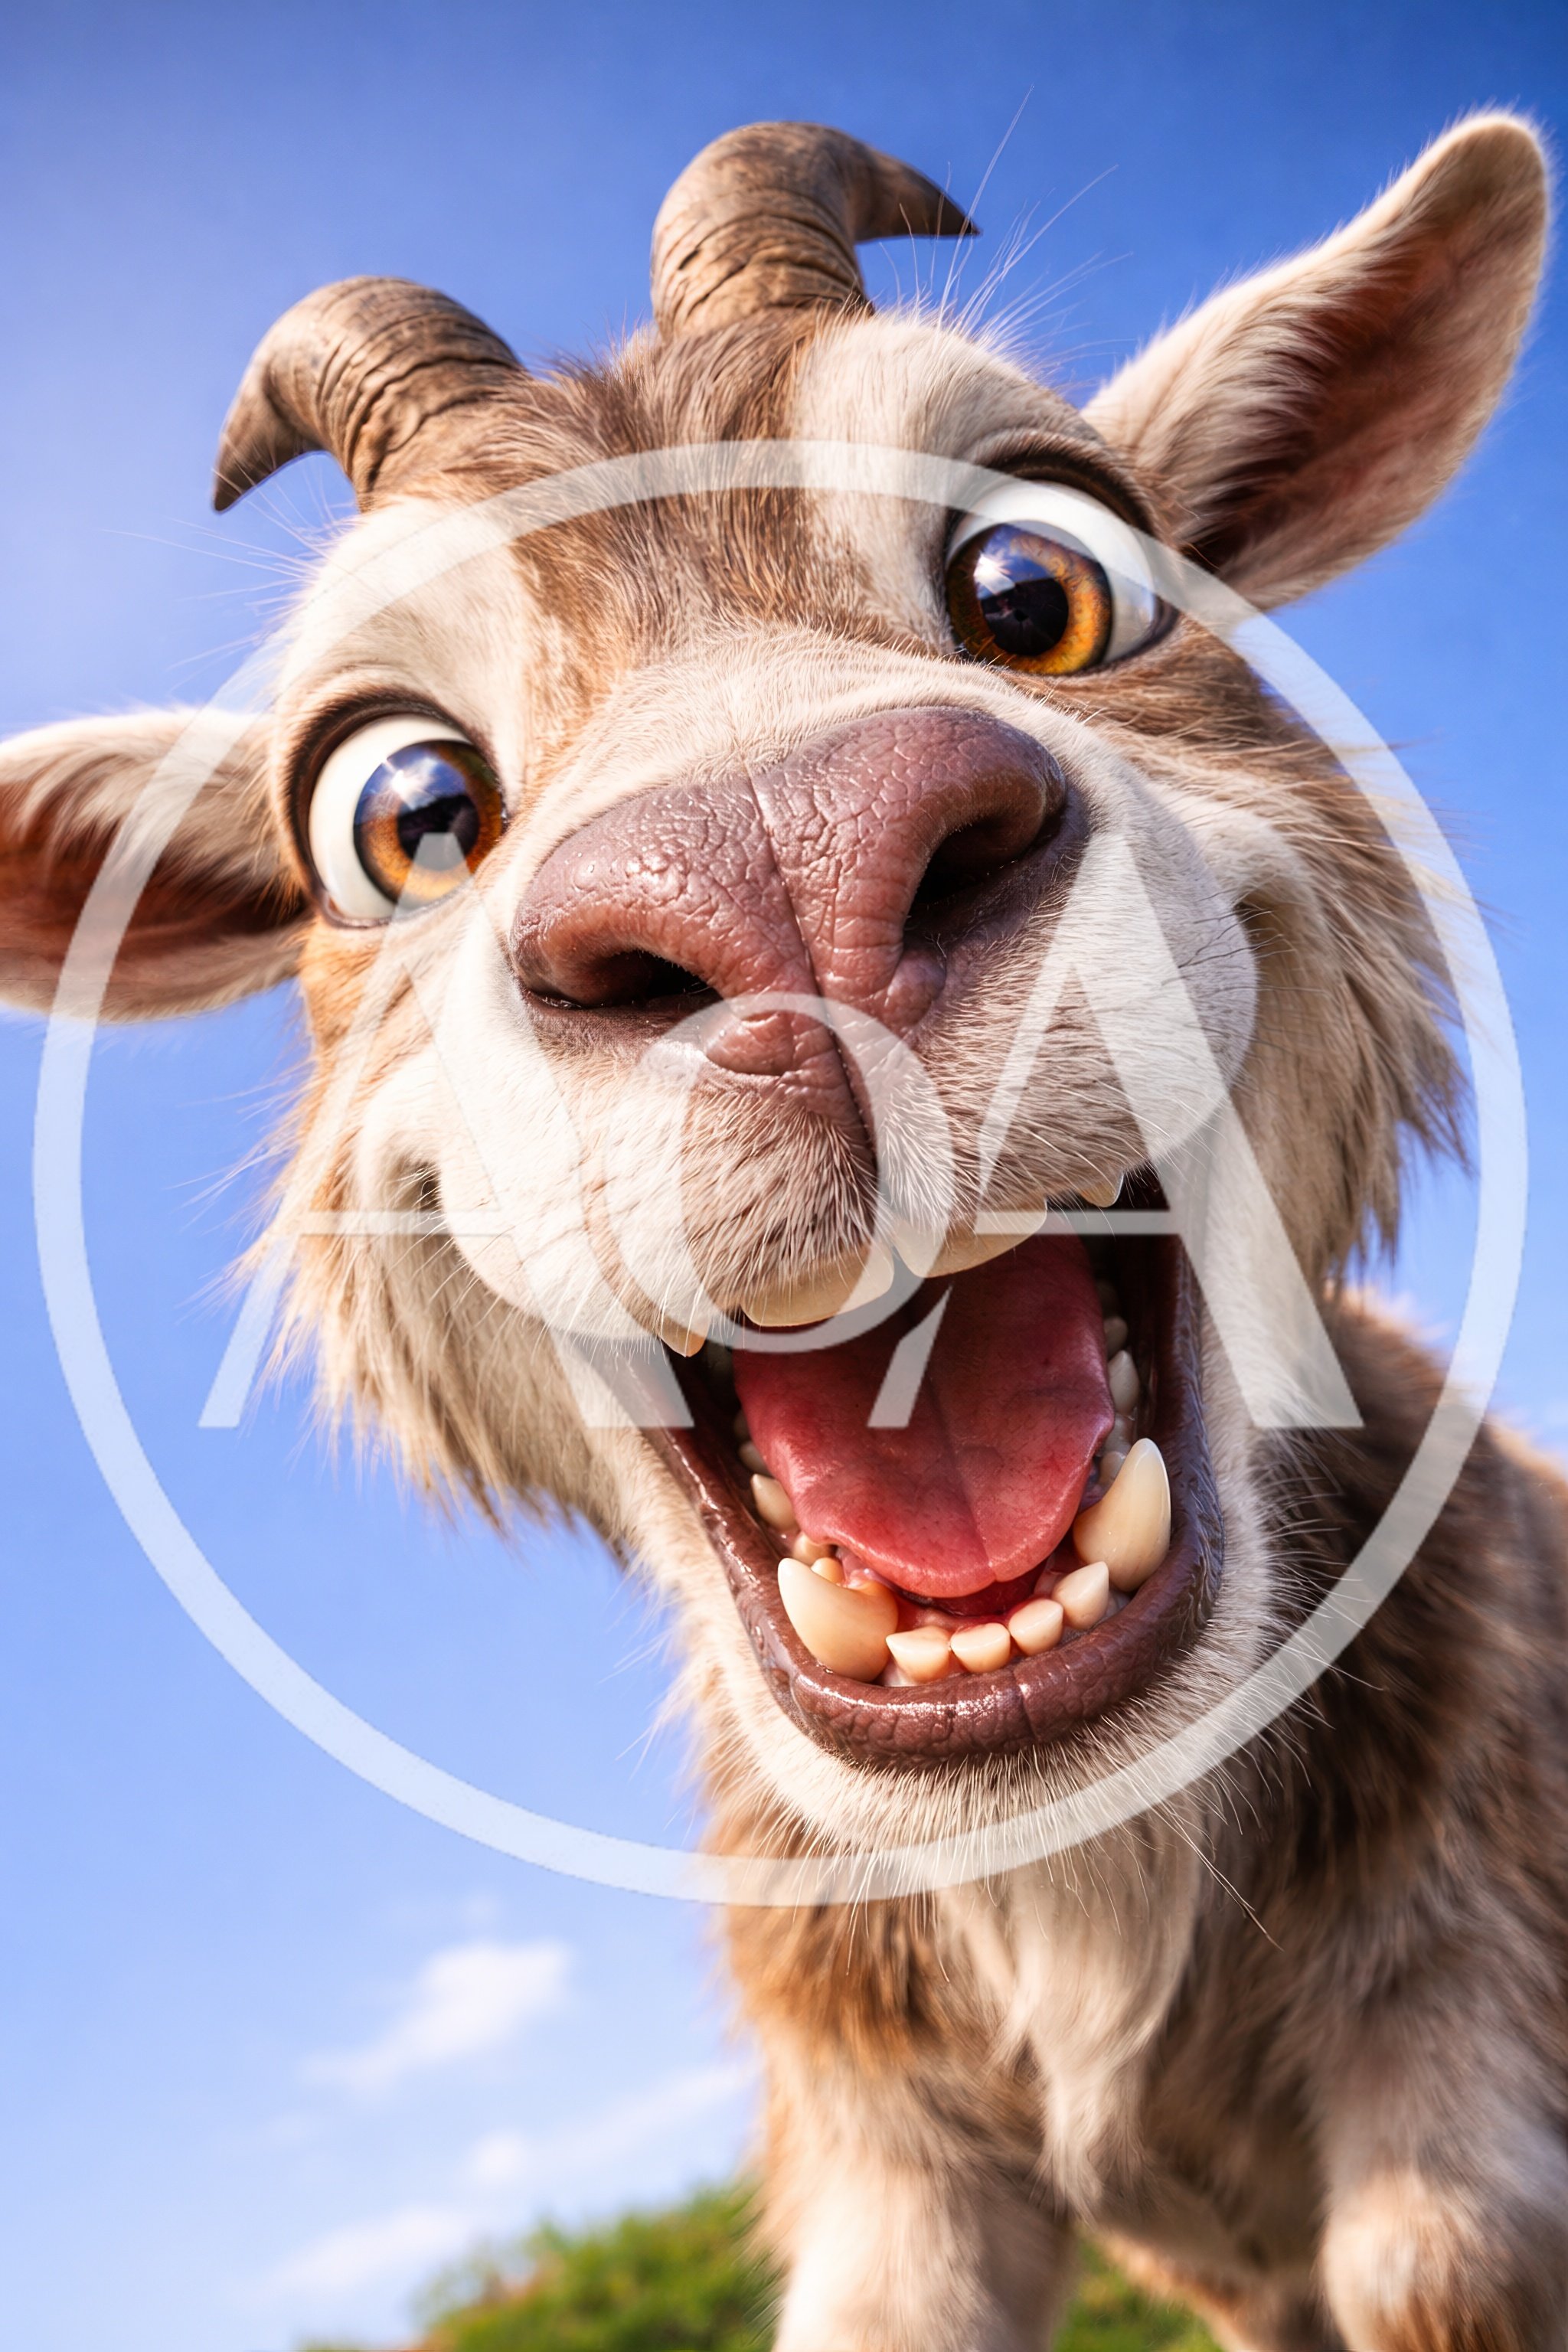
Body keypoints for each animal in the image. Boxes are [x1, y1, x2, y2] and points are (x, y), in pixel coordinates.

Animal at [2, 116, 1563, 2351]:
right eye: (398, 808)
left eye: (1044, 583)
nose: (778, 864)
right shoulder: (884, 2140)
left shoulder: (1466, 1972)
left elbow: (1442, 2258)